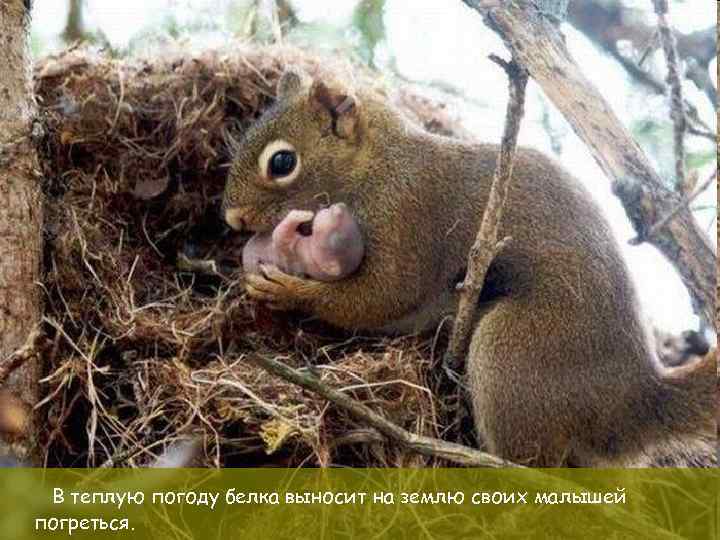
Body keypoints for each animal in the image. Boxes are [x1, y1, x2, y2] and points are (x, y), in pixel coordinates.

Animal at [222, 68, 716, 467]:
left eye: (282, 162)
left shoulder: (408, 215)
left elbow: (382, 296)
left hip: (515, 351)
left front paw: (286, 289)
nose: (232, 219)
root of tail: (633, 400)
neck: (377, 166)